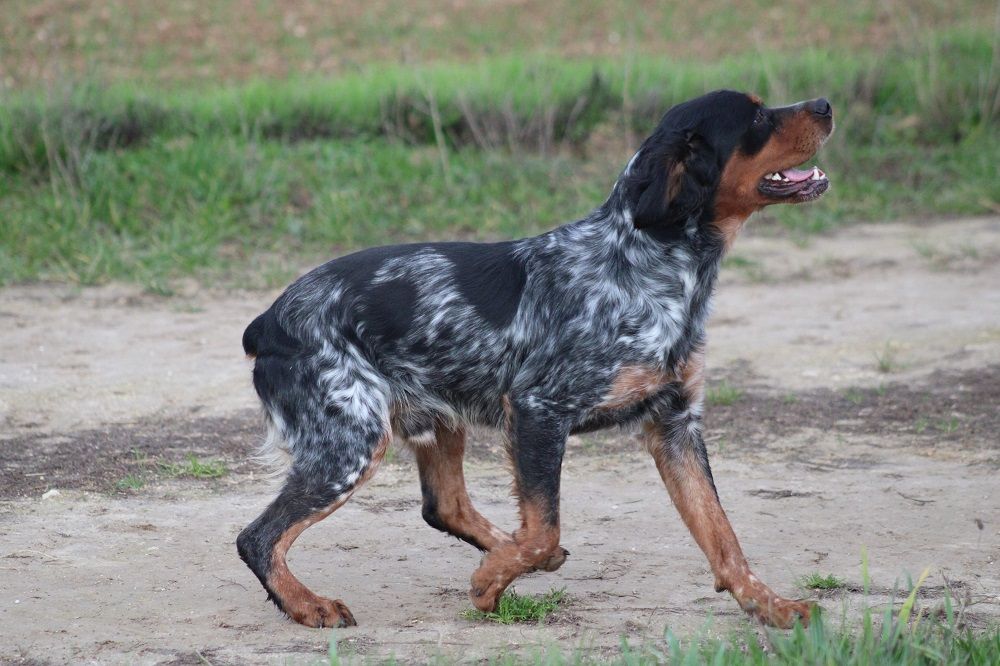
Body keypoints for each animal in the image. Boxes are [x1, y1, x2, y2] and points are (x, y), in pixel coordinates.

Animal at [236, 89, 836, 628]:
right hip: (352, 441)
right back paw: (307, 604)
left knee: (444, 505)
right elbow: (546, 527)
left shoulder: (675, 425)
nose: (826, 105)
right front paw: (489, 584)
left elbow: (723, 537)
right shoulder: (538, 409)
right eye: (756, 117)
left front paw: (770, 606)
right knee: (257, 537)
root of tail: (267, 320)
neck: (648, 264)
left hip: (432, 419)